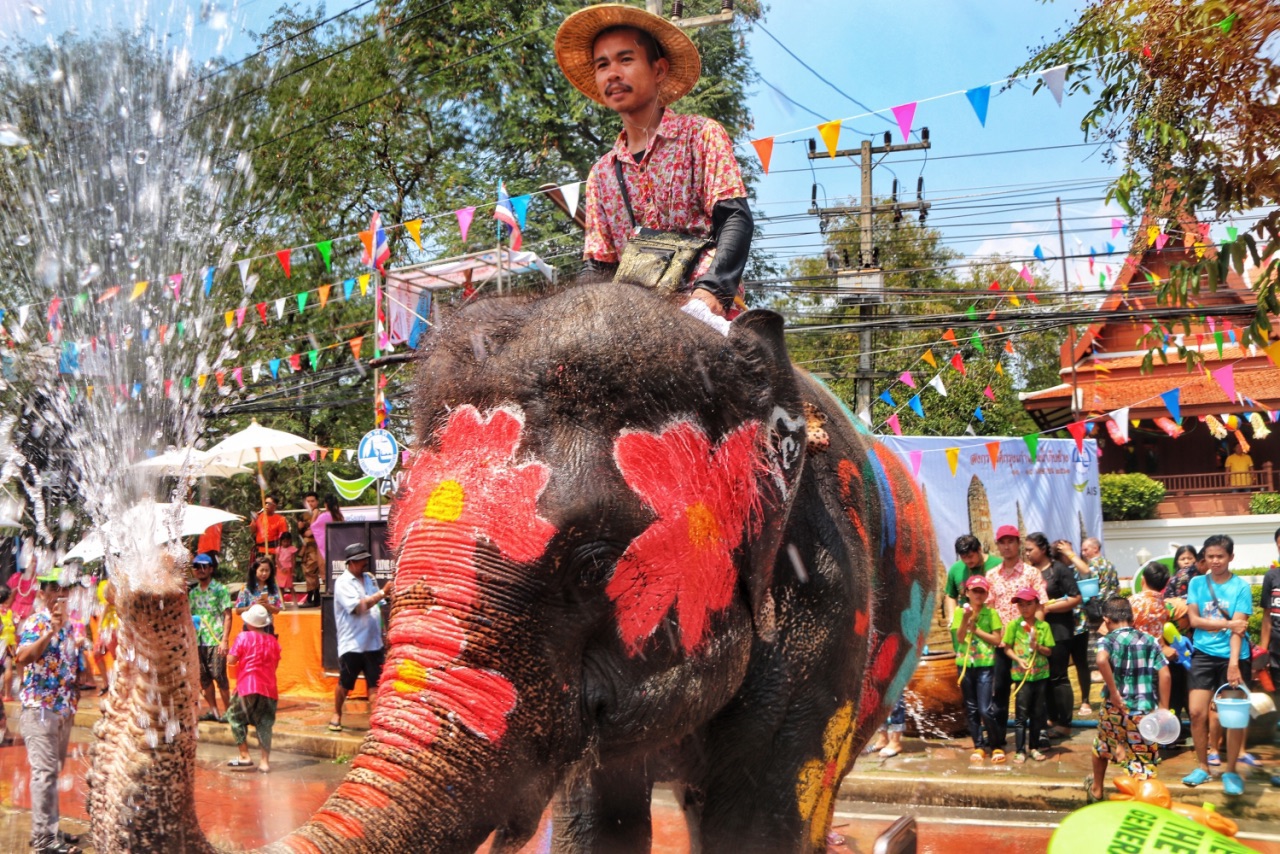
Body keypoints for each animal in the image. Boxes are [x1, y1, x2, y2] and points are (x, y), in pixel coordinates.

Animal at [82, 277, 942, 850]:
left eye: (593, 562)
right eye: (390, 546)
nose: (154, 570)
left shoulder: (828, 604)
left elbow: (760, 818)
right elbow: (600, 818)